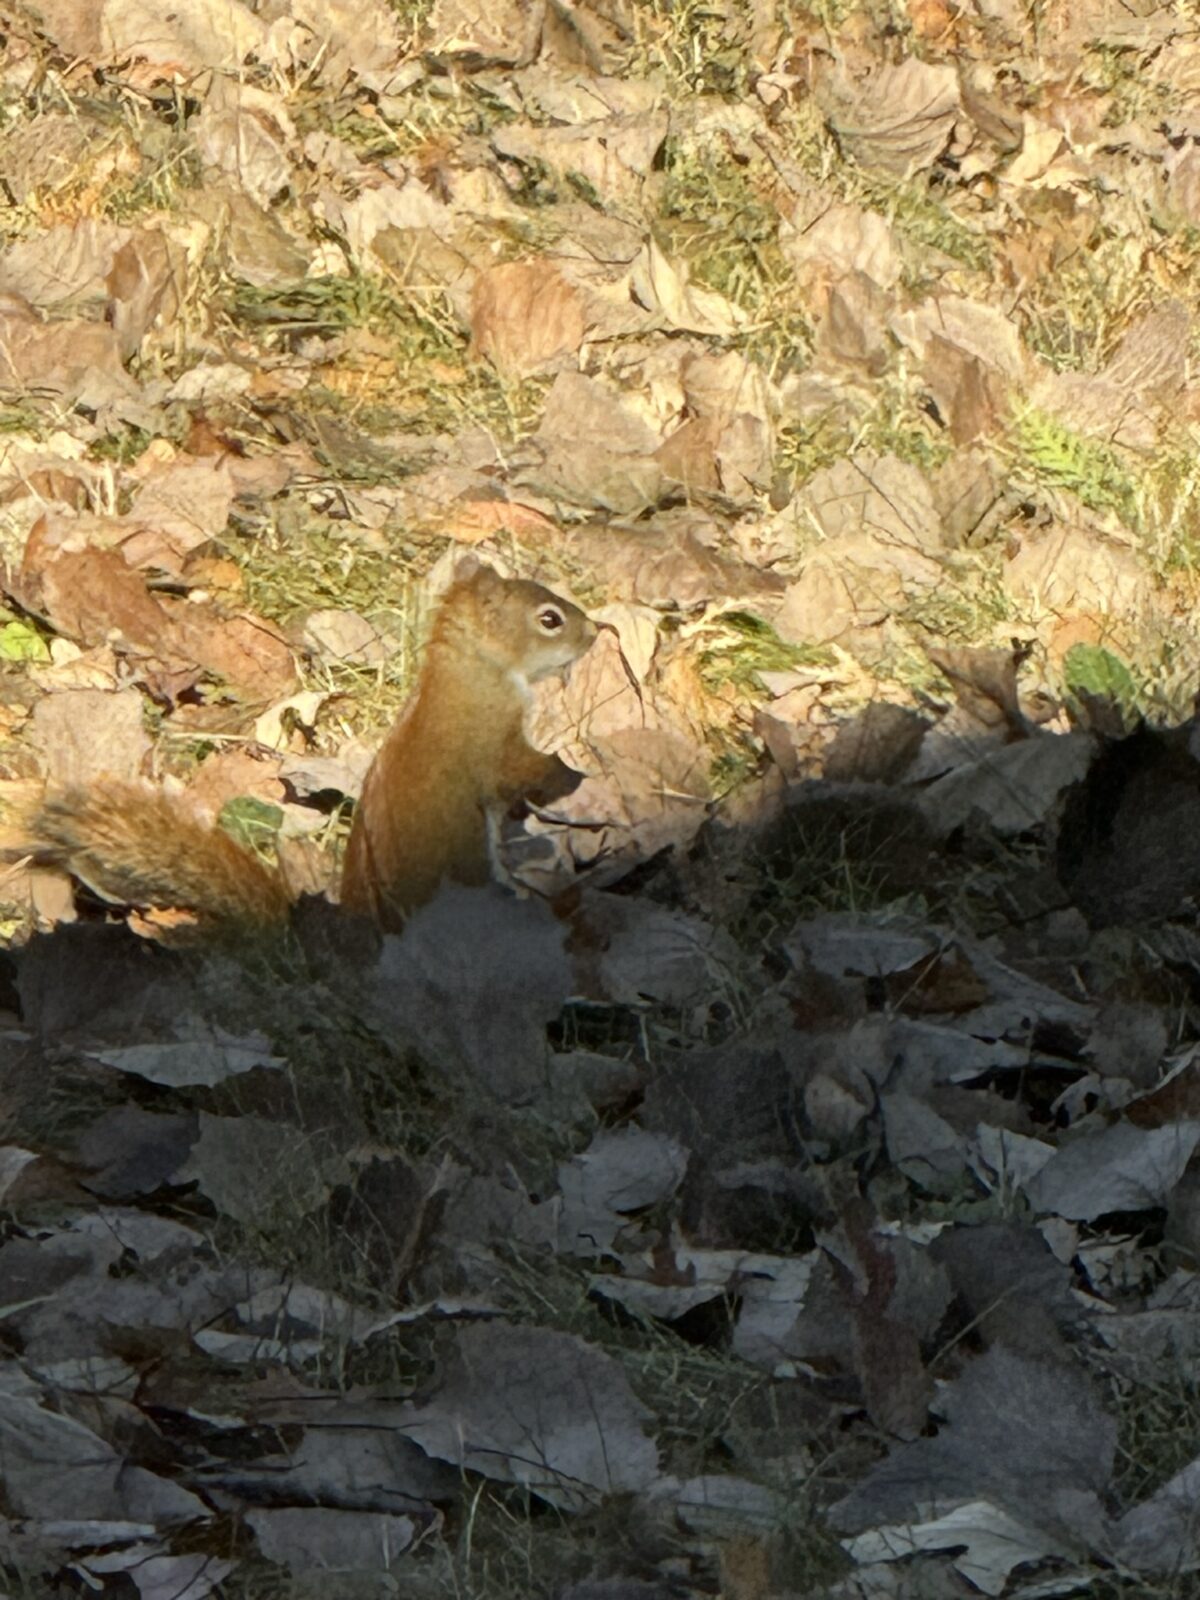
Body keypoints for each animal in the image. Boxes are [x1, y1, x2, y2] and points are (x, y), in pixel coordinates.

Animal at [28, 559, 597, 934]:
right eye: (549, 619)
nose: (595, 631)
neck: (473, 669)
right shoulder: (496, 738)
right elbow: (522, 771)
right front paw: (573, 775)